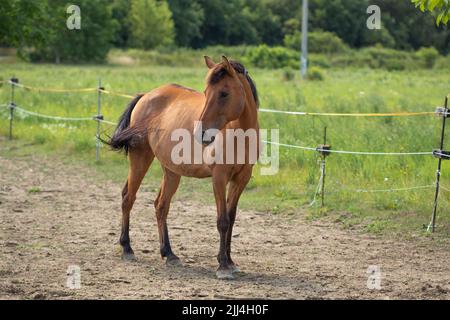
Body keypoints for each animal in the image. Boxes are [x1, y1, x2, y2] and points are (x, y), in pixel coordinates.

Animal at [106, 56, 260, 278]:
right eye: (205, 92)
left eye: (224, 93)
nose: (200, 133)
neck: (239, 134)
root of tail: (146, 96)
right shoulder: (219, 178)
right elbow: (222, 221)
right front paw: (222, 265)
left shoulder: (241, 179)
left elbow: (231, 219)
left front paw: (230, 262)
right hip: (140, 158)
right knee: (128, 198)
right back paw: (127, 248)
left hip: (171, 172)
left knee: (161, 206)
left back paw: (169, 254)